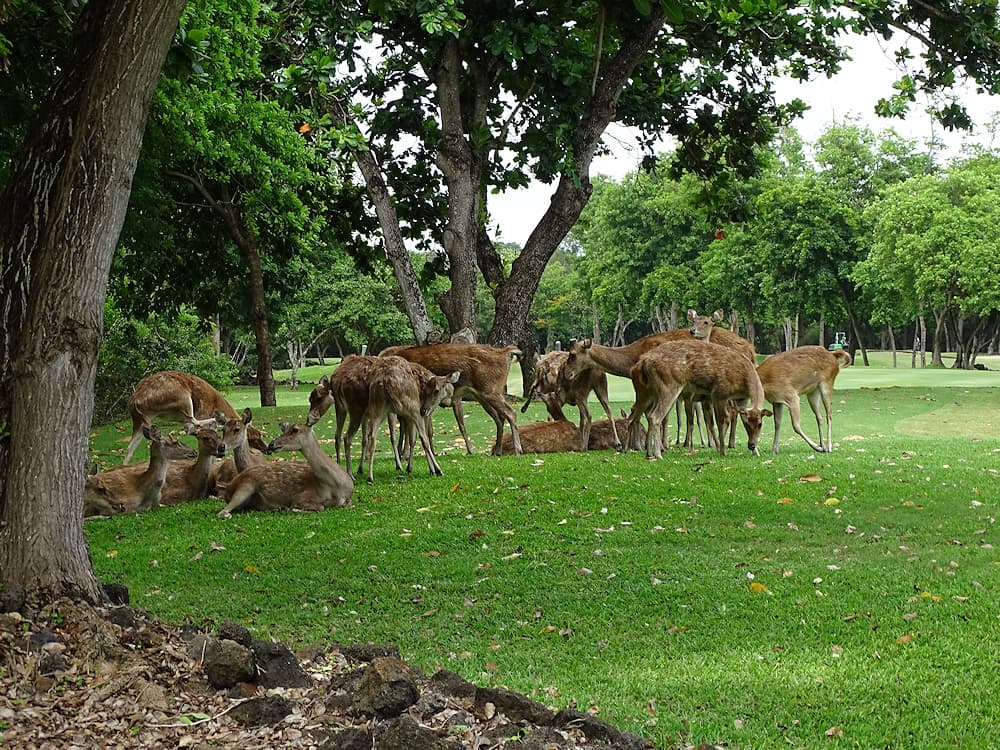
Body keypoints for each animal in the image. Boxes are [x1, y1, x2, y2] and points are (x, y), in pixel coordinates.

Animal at [219, 424, 356, 524]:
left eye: (294, 429)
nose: (271, 444)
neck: (337, 486)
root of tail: (228, 488)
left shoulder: (347, 500)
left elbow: (347, 505)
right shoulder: (302, 496)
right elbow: (320, 508)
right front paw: (291, 508)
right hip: (246, 485)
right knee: (222, 512)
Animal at [378, 342, 524, 458]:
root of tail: (505, 353)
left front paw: (405, 455)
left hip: (491, 390)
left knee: (511, 413)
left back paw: (518, 450)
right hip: (483, 396)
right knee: (499, 418)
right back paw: (497, 451)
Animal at [632, 340, 772, 458]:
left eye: (760, 424)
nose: (751, 445)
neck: (744, 380)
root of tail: (645, 360)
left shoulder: (741, 399)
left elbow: (739, 418)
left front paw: (756, 453)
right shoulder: (719, 393)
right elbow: (721, 421)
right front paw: (722, 450)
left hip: (651, 392)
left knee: (647, 414)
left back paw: (649, 453)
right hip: (668, 385)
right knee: (655, 416)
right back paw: (658, 454)